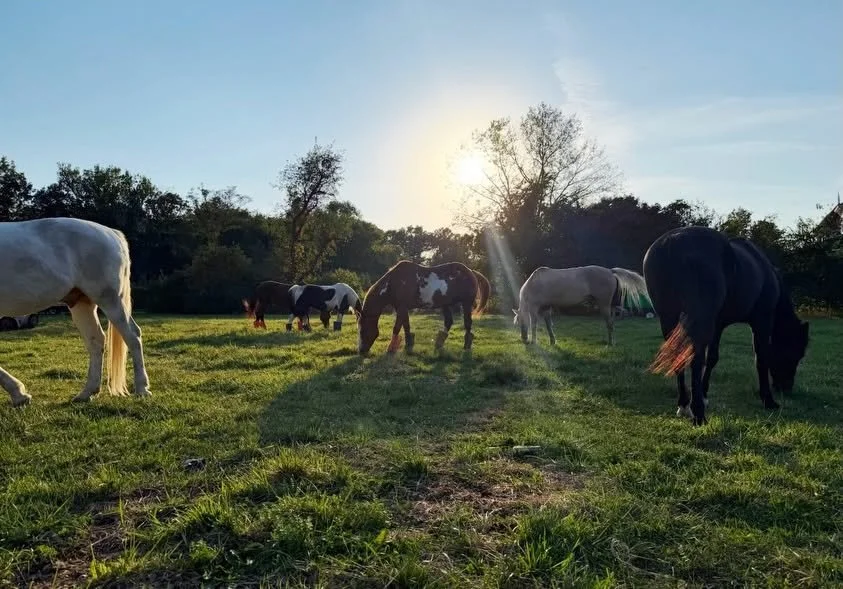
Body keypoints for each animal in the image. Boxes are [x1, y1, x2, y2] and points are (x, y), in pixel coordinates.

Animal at [0, 217, 151, 406]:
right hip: (82, 304)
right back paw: (87, 393)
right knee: (96, 341)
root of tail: (113, 233)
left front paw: (19, 393)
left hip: (110, 299)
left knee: (132, 336)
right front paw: (19, 394)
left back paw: (142, 389)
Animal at [357, 260, 490, 354]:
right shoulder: (403, 308)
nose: (361, 351)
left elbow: (397, 327)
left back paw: (466, 347)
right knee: (448, 322)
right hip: (446, 305)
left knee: (467, 324)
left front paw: (390, 348)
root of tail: (471, 271)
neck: (393, 283)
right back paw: (438, 344)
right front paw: (408, 345)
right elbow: (406, 326)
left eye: (362, 330)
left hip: (466, 303)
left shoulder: (401, 308)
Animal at [512, 265, 652, 345]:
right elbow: (548, 325)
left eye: (519, 321)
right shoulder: (546, 308)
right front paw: (552, 341)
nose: (523, 339)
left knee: (610, 324)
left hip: (604, 305)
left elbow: (534, 325)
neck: (533, 284)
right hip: (610, 307)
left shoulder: (534, 309)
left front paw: (533, 341)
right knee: (612, 322)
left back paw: (610, 344)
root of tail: (610, 271)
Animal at [643, 226, 809, 426]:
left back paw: (684, 405)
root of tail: (672, 241)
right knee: (695, 359)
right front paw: (768, 400)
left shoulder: (718, 324)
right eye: (796, 354)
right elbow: (761, 357)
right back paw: (698, 414)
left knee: (679, 356)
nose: (785, 388)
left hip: (669, 317)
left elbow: (713, 358)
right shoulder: (762, 321)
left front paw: (704, 395)